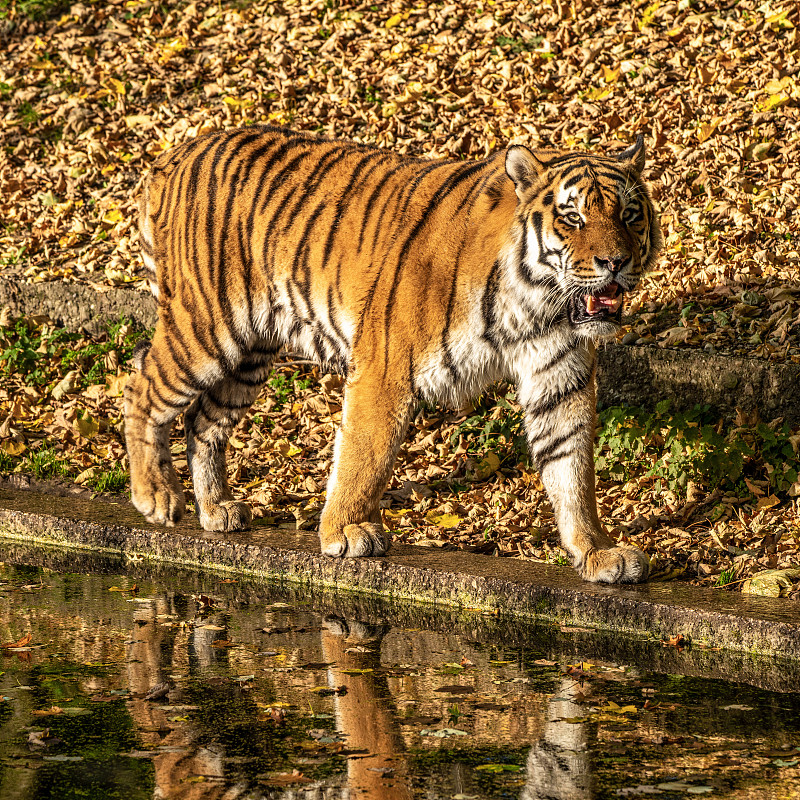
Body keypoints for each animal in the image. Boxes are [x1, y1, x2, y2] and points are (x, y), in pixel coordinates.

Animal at [125, 126, 664, 588]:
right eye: (573, 217)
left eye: (629, 215)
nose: (615, 262)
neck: (538, 302)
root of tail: (170, 157)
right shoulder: (385, 368)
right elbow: (366, 454)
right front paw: (344, 532)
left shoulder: (558, 377)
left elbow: (572, 470)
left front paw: (597, 552)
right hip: (206, 328)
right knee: (139, 387)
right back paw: (156, 496)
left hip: (250, 353)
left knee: (203, 422)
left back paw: (217, 510)